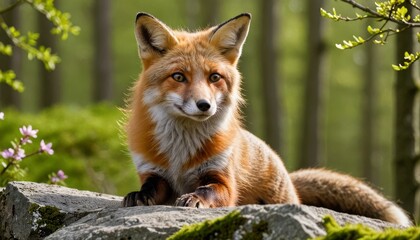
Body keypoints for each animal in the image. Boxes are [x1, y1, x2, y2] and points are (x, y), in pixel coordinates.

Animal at [123, 12, 412, 226]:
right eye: (178, 77)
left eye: (214, 77)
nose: (204, 105)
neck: (180, 154)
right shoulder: (152, 171)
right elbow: (150, 187)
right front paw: (139, 195)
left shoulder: (222, 178)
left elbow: (207, 190)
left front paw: (195, 198)